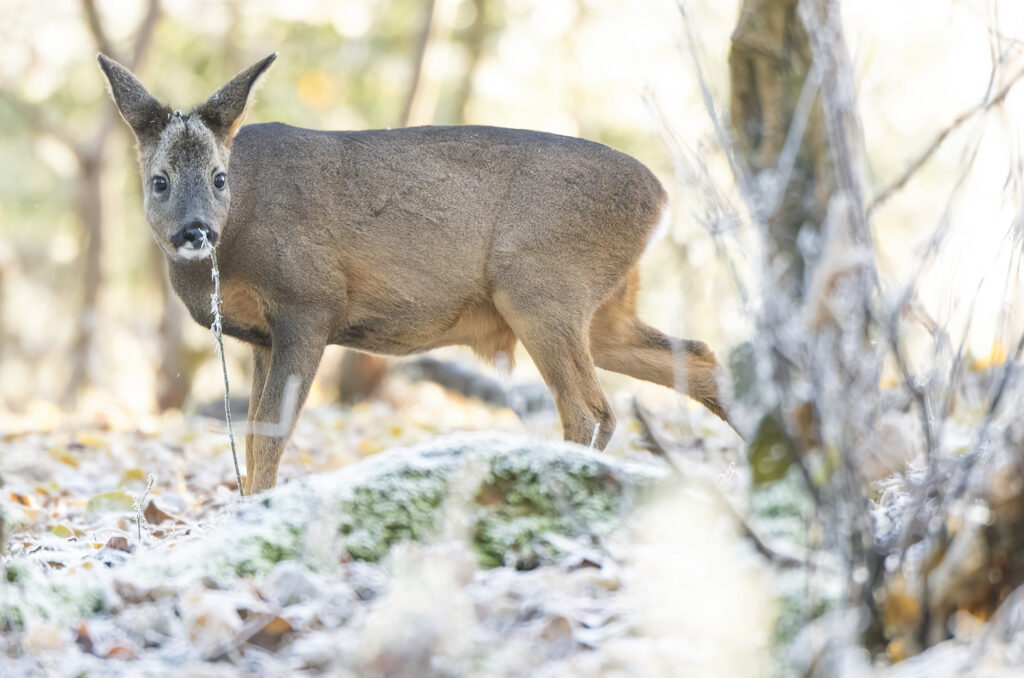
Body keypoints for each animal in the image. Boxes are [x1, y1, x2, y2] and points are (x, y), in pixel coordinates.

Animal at [99, 53, 733, 497]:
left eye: (218, 177)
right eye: (159, 180)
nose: (195, 231)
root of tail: (662, 200)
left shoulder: (310, 302)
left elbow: (271, 433)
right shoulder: (261, 336)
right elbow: (255, 434)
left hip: (541, 286)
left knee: (592, 409)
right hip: (602, 308)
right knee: (699, 355)